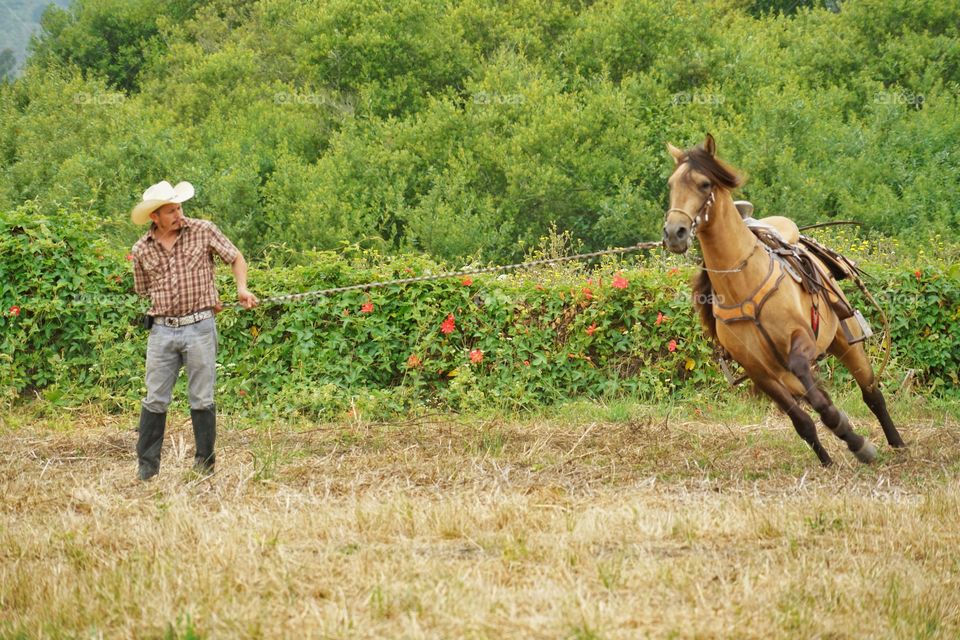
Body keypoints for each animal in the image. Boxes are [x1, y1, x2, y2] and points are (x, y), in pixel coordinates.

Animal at [662, 134, 905, 466]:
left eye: (704, 184)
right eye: (672, 184)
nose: (674, 232)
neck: (743, 285)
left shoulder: (801, 341)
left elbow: (818, 395)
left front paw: (858, 444)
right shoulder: (759, 372)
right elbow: (802, 420)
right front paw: (833, 454)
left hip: (844, 341)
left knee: (871, 393)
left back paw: (897, 443)